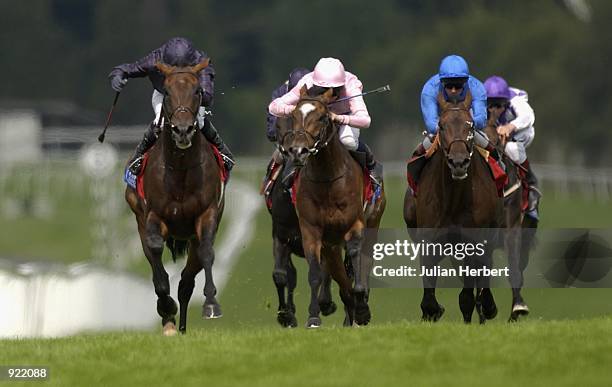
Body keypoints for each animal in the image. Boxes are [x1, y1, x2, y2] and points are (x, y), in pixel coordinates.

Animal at [125, 59, 226, 336]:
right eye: (167, 92)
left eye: (198, 91)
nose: (182, 130)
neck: (180, 170)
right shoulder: (152, 216)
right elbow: (155, 250)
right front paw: (166, 307)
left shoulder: (207, 214)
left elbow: (207, 251)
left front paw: (211, 304)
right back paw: (170, 321)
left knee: (186, 281)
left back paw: (181, 326)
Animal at [280, 87, 384, 328]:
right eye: (294, 115)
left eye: (322, 117)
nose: (298, 151)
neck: (327, 178)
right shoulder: (312, 230)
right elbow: (316, 272)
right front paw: (314, 317)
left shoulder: (355, 224)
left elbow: (356, 259)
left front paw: (362, 309)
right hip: (332, 243)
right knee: (338, 273)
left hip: (373, 222)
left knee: (364, 261)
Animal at [402, 93, 502, 324]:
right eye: (441, 125)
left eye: (471, 125)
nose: (458, 162)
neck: (454, 201)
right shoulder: (429, 241)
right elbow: (429, 296)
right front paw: (433, 310)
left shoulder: (474, 241)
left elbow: (468, 293)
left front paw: (483, 308)